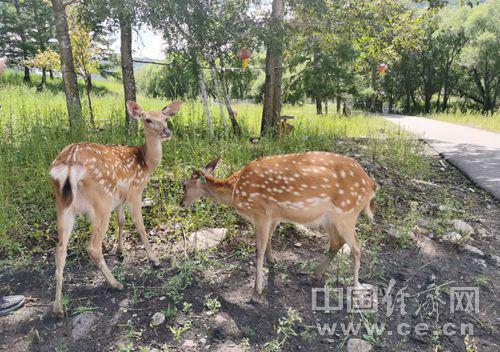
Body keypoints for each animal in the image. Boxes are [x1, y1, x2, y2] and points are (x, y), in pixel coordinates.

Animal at [48, 99, 182, 316]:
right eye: (147, 119)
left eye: (165, 117)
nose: (166, 132)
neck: (146, 163)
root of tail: (70, 164)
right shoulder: (135, 192)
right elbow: (139, 226)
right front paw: (154, 259)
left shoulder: (119, 199)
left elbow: (121, 221)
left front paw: (120, 252)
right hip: (100, 203)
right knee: (93, 247)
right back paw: (115, 283)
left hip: (63, 206)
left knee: (60, 250)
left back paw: (58, 307)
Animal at [182, 152, 376, 296]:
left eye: (183, 185)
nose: (181, 203)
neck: (234, 190)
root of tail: (372, 186)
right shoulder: (274, 215)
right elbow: (269, 238)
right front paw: (272, 260)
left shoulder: (260, 212)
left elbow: (259, 249)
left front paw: (257, 289)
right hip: (328, 218)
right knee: (337, 242)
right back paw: (314, 275)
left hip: (347, 213)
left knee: (357, 247)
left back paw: (356, 285)